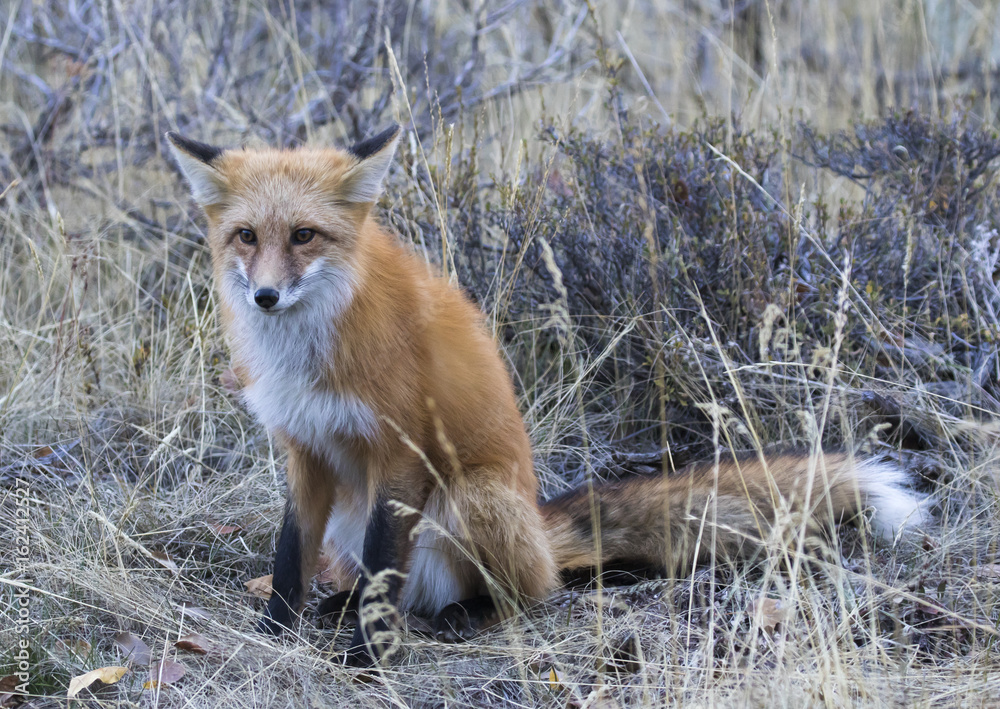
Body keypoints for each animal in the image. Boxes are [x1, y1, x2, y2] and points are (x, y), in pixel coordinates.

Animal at [166, 126, 930, 666]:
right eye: (246, 236)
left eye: (303, 235)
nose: (265, 296)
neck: (310, 350)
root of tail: (540, 524)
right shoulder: (305, 447)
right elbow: (289, 556)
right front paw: (276, 630)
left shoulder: (402, 453)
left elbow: (384, 576)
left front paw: (367, 660)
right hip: (366, 516)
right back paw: (343, 604)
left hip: (469, 497)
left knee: (524, 595)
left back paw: (462, 616)